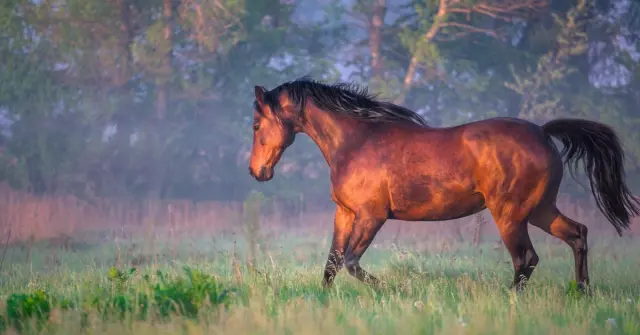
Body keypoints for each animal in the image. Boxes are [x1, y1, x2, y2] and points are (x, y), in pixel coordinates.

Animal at [246, 77, 640, 292]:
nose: (256, 172)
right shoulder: (345, 214)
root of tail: (543, 133)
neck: (357, 141)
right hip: (541, 209)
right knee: (577, 235)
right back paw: (583, 292)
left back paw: (510, 298)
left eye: (255, 125)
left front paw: (395, 289)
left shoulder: (372, 216)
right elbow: (332, 262)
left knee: (526, 258)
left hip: (510, 214)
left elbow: (352, 263)